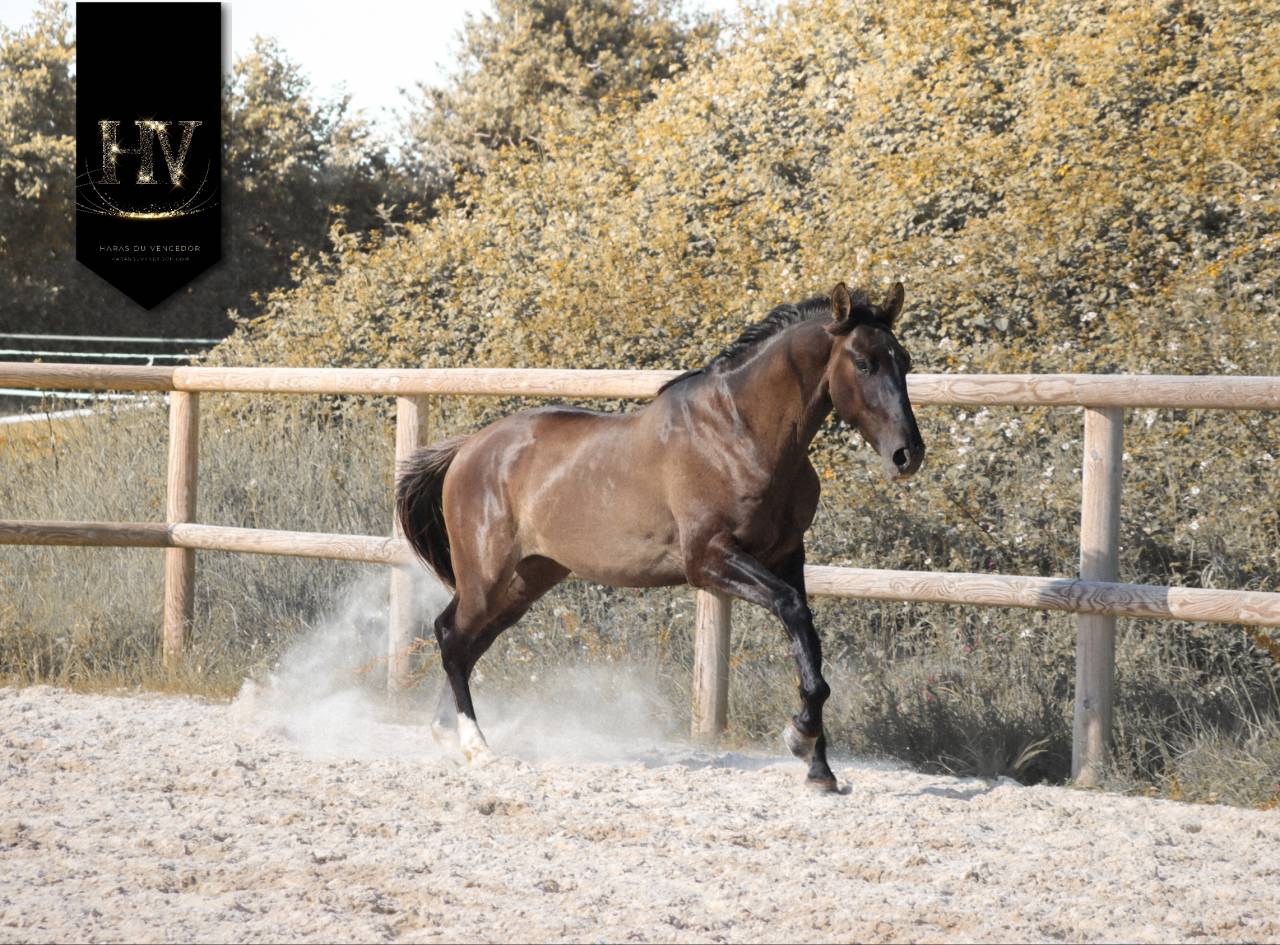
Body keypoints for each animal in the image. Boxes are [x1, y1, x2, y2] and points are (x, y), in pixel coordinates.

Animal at [396, 282, 925, 791]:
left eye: (904, 360)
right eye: (863, 362)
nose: (907, 455)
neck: (740, 434)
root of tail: (469, 448)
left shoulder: (787, 555)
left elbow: (806, 638)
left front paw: (819, 769)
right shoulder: (708, 559)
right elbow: (793, 610)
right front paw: (799, 737)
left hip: (530, 578)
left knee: (468, 642)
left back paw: (450, 737)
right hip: (487, 574)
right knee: (451, 635)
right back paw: (477, 747)